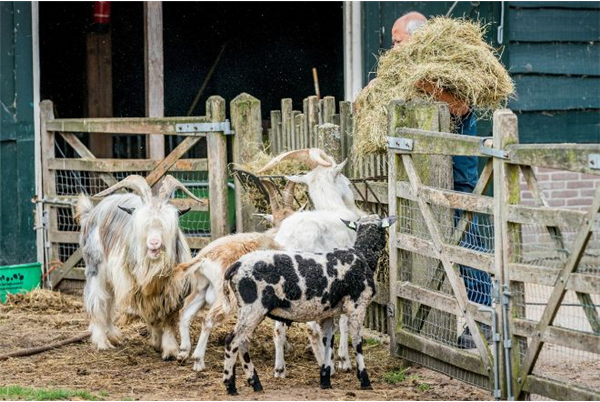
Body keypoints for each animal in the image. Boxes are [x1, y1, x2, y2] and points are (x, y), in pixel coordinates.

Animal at [74, 174, 206, 360]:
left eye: (166, 225)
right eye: (143, 224)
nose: (154, 243)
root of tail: (91, 213)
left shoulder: (172, 291)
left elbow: (167, 318)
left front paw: (168, 348)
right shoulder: (138, 288)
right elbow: (151, 316)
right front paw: (159, 342)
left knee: (108, 301)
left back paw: (114, 336)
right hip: (96, 268)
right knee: (98, 301)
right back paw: (102, 342)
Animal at [218, 215, 396, 394]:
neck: (363, 255)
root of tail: (236, 266)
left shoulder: (328, 313)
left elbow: (328, 342)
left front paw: (325, 379)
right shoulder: (357, 306)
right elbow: (357, 342)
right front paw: (365, 380)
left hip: (247, 310)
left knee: (242, 342)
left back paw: (255, 383)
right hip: (253, 308)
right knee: (232, 341)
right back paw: (230, 385)